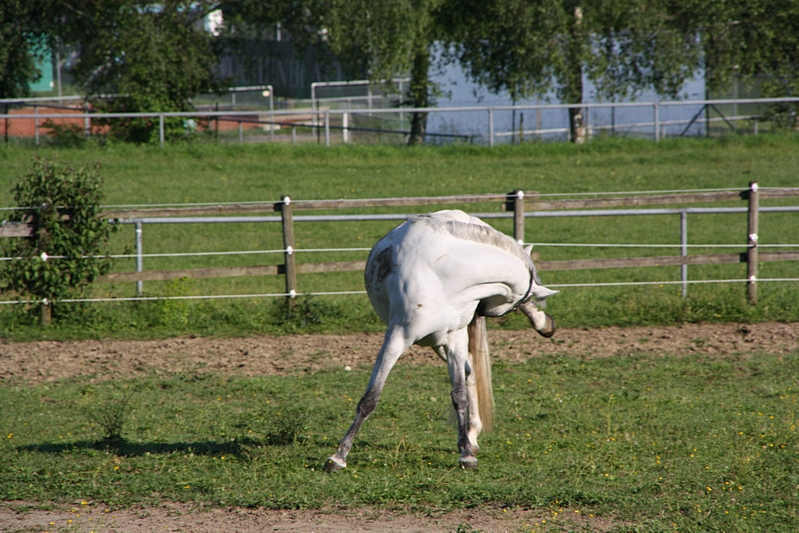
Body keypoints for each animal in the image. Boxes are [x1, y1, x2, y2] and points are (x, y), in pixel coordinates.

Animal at [324, 209, 556, 470]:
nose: (481, 310)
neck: (444, 277)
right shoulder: (398, 337)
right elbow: (370, 398)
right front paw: (338, 456)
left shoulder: (454, 340)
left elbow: (459, 395)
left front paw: (466, 454)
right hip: (434, 343)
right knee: (470, 371)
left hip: (445, 342)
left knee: (469, 373)